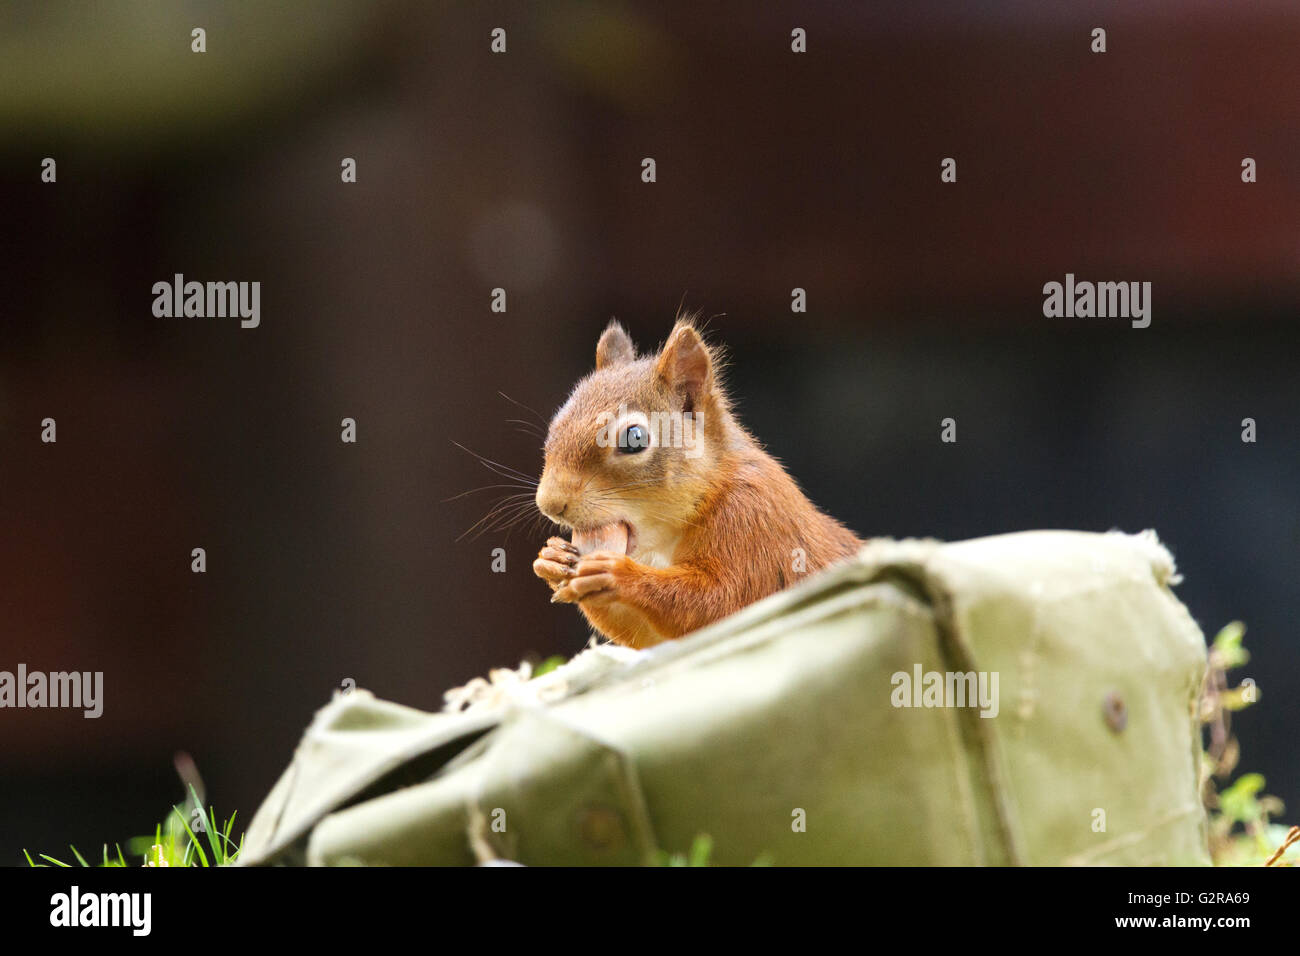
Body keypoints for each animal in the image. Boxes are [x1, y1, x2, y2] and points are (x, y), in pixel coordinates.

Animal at [527, 316, 863, 650]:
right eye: (556, 426)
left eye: (634, 438)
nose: (550, 503)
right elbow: (645, 634)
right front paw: (550, 559)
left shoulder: (753, 521)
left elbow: (722, 602)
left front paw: (616, 573)